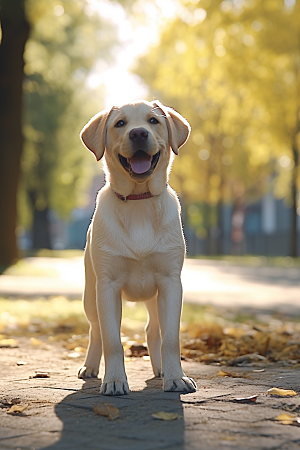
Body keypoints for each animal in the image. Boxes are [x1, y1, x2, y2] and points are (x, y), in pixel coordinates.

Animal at [78, 100, 197, 396]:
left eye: (153, 120)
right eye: (120, 123)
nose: (139, 133)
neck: (138, 199)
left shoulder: (170, 283)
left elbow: (171, 338)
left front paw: (176, 377)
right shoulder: (107, 286)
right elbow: (112, 339)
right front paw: (115, 381)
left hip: (155, 298)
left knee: (153, 329)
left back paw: (161, 369)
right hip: (90, 293)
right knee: (95, 330)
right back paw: (90, 367)